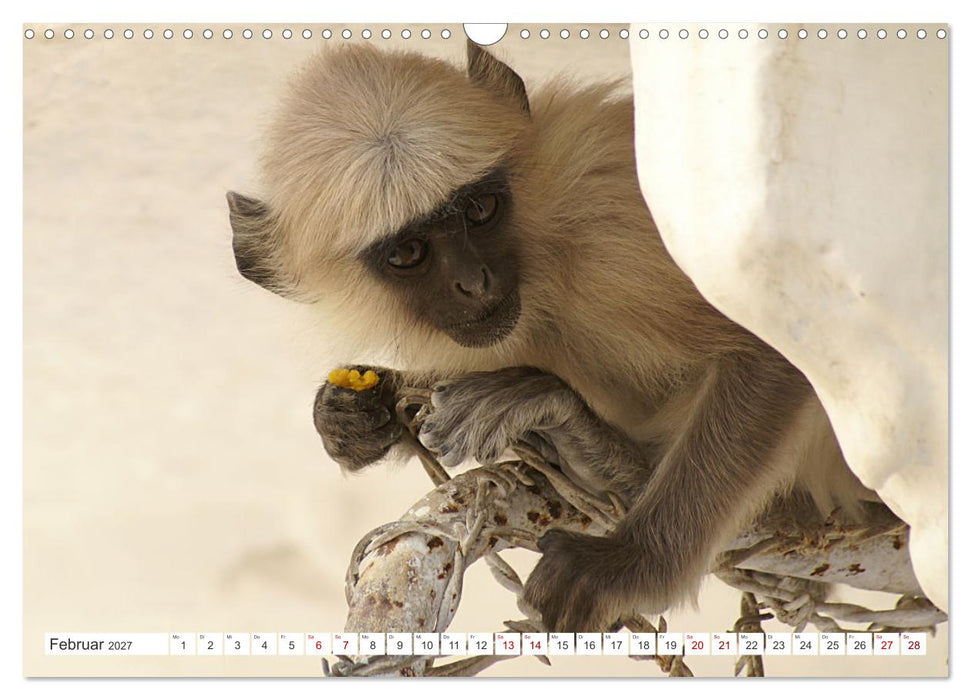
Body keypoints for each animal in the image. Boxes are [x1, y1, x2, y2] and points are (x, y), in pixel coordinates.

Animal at [227, 40, 878, 632]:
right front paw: (356, 417)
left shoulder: (610, 220)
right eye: (409, 252)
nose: (474, 282)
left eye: (481, 211)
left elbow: (779, 349)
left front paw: (630, 564)